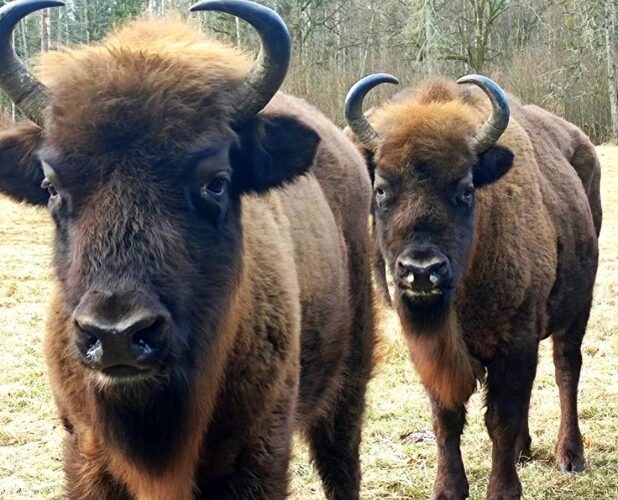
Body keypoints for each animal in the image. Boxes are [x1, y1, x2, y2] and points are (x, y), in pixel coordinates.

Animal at [342, 72, 596, 498]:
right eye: (380, 188)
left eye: (465, 188)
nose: (421, 270)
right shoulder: (432, 351)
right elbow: (447, 417)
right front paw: (448, 488)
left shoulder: (516, 340)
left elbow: (501, 419)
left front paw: (503, 490)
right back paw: (524, 451)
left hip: (578, 308)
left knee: (566, 369)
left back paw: (570, 456)